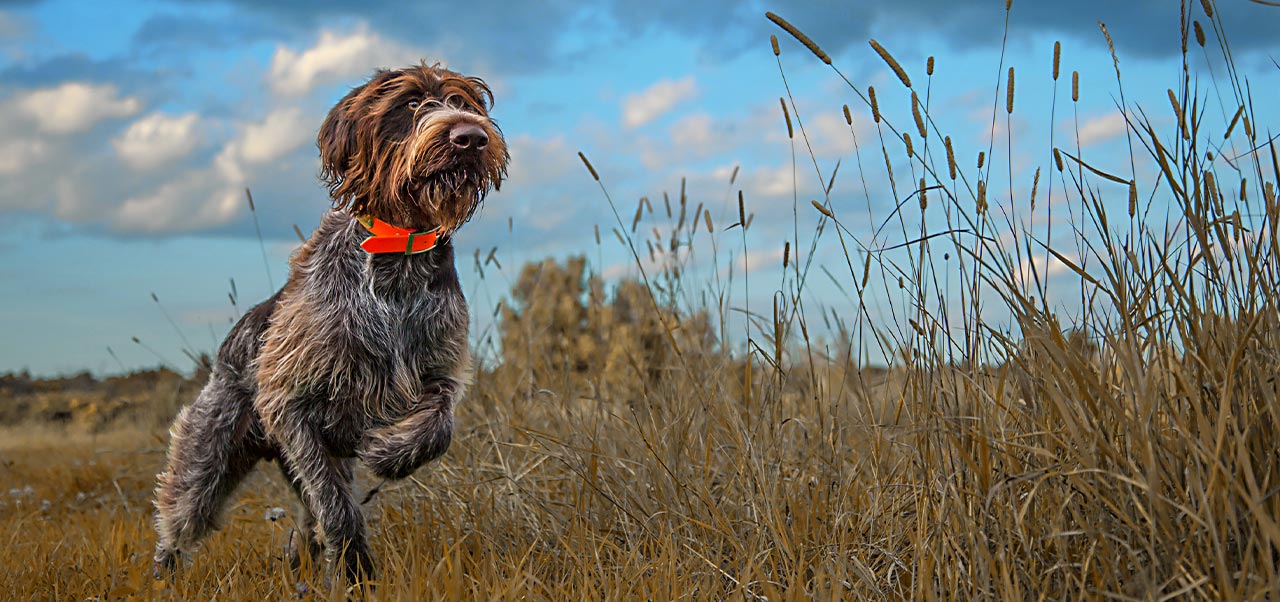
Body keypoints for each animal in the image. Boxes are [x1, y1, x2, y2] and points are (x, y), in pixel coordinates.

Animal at [148, 63, 504, 586]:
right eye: (411, 103)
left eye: (467, 104)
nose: (471, 137)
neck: (397, 258)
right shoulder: (291, 406)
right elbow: (334, 505)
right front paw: (356, 571)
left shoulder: (439, 368)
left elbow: (439, 425)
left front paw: (388, 450)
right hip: (210, 450)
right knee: (182, 514)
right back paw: (164, 573)